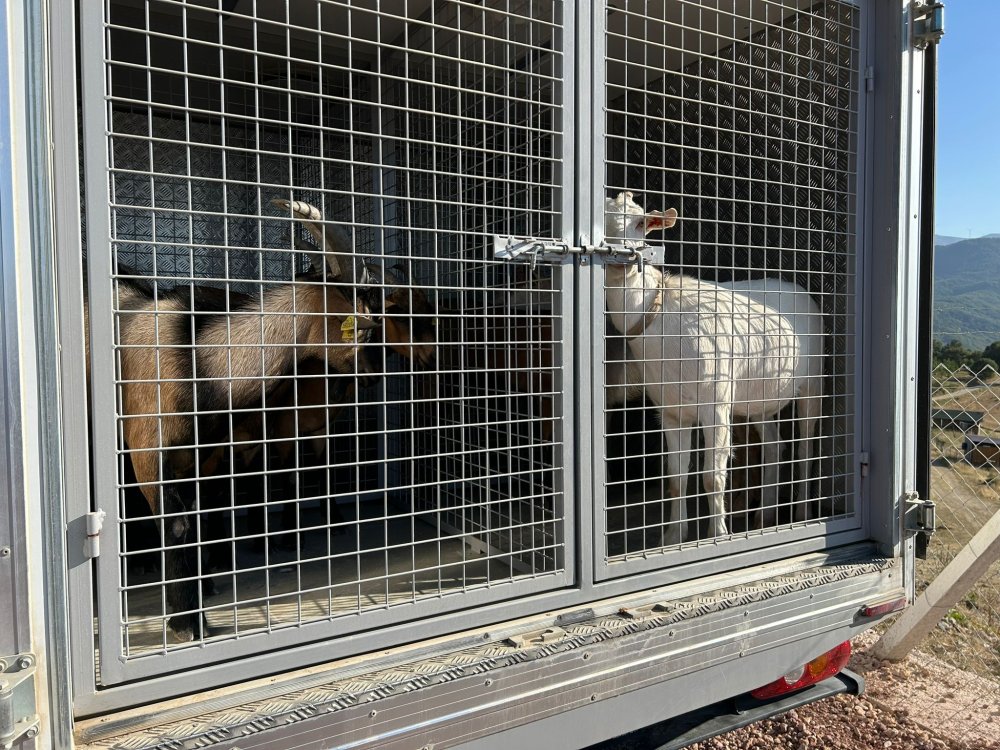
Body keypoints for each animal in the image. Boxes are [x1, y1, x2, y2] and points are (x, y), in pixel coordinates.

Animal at [600, 192, 820, 540]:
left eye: (639, 223)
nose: (619, 256)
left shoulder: (715, 400)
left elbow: (711, 476)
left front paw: (718, 535)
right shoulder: (670, 408)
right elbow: (676, 478)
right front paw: (673, 537)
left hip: (814, 379)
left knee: (805, 447)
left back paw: (801, 514)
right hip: (758, 394)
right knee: (774, 444)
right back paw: (764, 516)